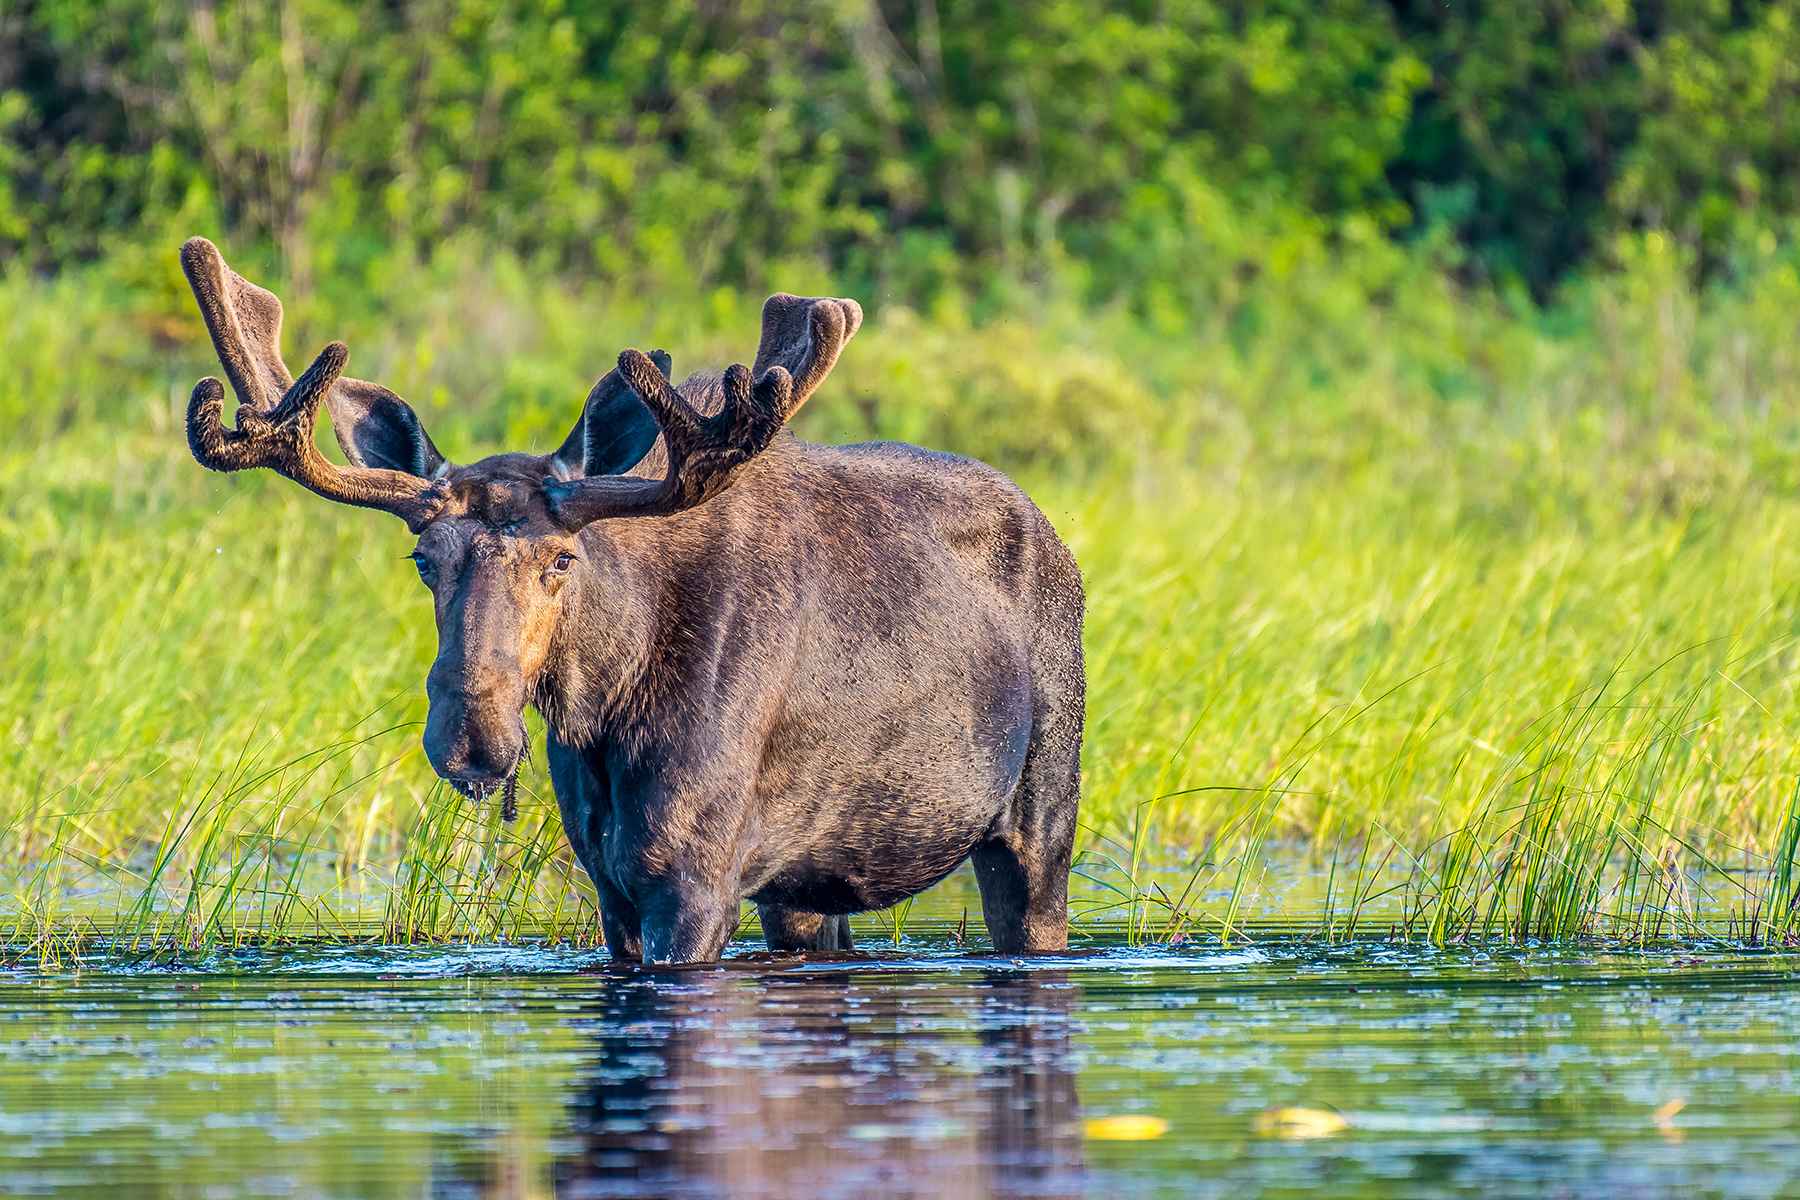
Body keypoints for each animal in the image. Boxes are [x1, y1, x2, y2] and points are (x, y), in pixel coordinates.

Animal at [179, 239, 1080, 964]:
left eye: (561, 559)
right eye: (423, 559)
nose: (471, 739)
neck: (607, 701)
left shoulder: (695, 879)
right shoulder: (611, 886)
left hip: (1042, 814)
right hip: (805, 886)